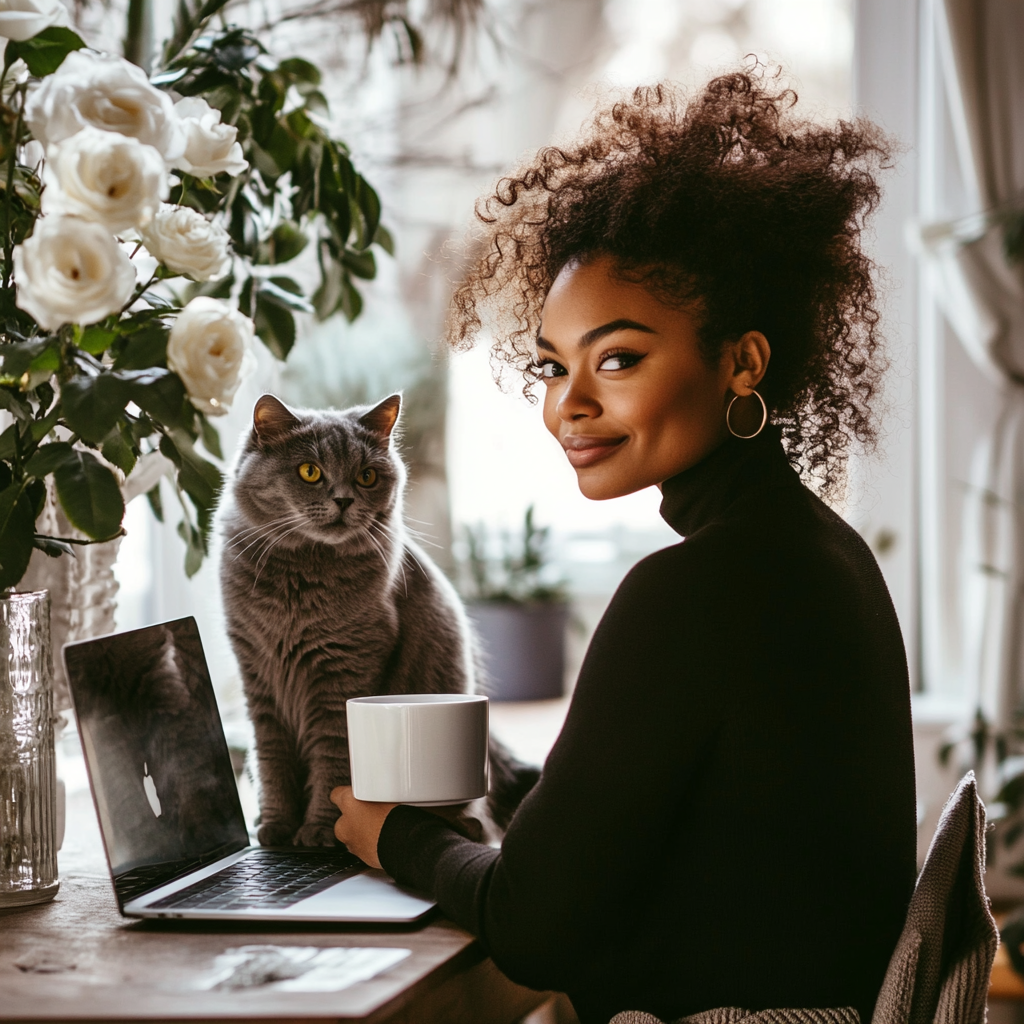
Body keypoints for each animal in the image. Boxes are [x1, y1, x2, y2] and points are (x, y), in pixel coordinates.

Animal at [217, 391, 536, 847]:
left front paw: (320, 831)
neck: (299, 582)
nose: (344, 499)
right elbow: (271, 759)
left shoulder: (344, 673)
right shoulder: (257, 677)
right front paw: (274, 827)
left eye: (366, 476)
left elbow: (334, 760)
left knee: (475, 821)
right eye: (310, 471)